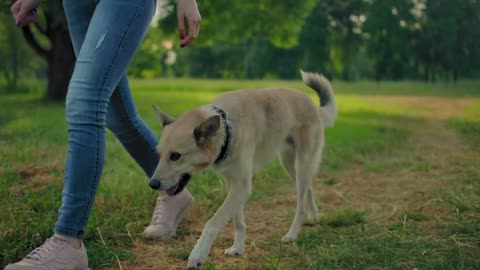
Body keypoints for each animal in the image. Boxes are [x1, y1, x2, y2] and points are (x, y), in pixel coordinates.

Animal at [150, 71, 338, 268]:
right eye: (159, 153)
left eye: (175, 156)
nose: (152, 184)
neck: (228, 129)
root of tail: (314, 106)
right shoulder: (232, 184)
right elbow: (238, 221)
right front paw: (238, 248)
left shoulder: (241, 186)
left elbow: (213, 222)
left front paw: (198, 254)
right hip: (289, 165)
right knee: (309, 187)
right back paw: (314, 215)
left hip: (302, 163)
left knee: (300, 203)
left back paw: (292, 234)